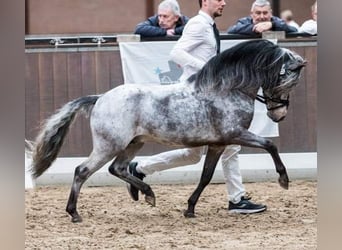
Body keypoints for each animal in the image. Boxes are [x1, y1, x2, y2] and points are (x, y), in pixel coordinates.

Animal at [30, 39, 306, 223]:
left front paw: (190, 209)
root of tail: (100, 98)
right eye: (287, 81)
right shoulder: (235, 134)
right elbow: (271, 145)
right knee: (83, 171)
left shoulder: (218, 144)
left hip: (134, 143)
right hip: (109, 145)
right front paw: (283, 180)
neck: (227, 90)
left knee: (118, 168)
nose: (278, 115)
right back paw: (74, 213)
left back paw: (147, 193)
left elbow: (206, 176)